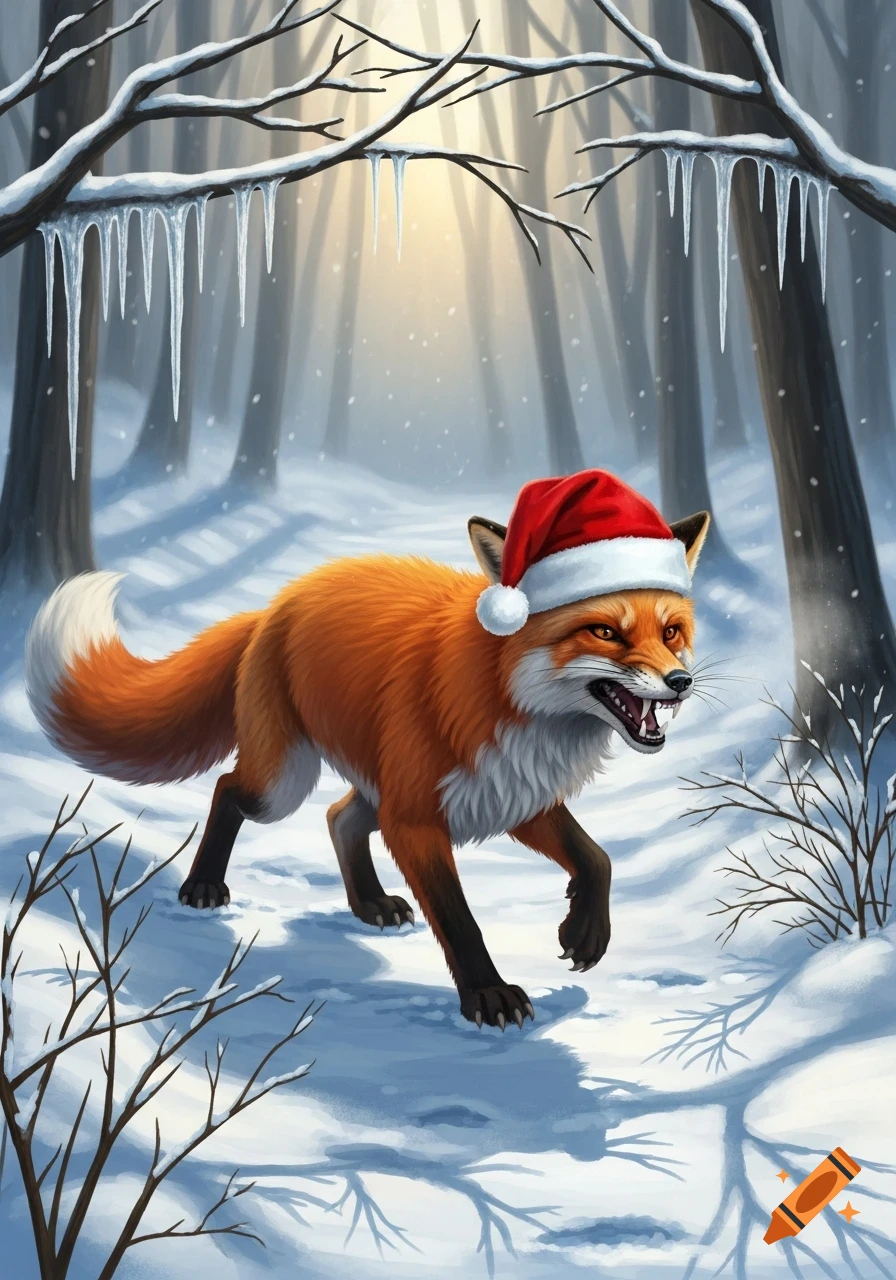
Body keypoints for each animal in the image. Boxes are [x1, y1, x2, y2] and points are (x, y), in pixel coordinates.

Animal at [24, 469, 709, 1029]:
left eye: (672, 632)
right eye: (605, 632)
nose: (681, 683)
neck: (509, 695)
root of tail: (274, 604)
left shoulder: (512, 794)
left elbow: (596, 858)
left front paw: (586, 932)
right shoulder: (418, 820)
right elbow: (460, 919)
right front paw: (487, 996)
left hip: (370, 785)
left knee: (339, 816)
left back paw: (369, 903)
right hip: (284, 785)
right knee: (230, 790)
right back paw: (203, 888)